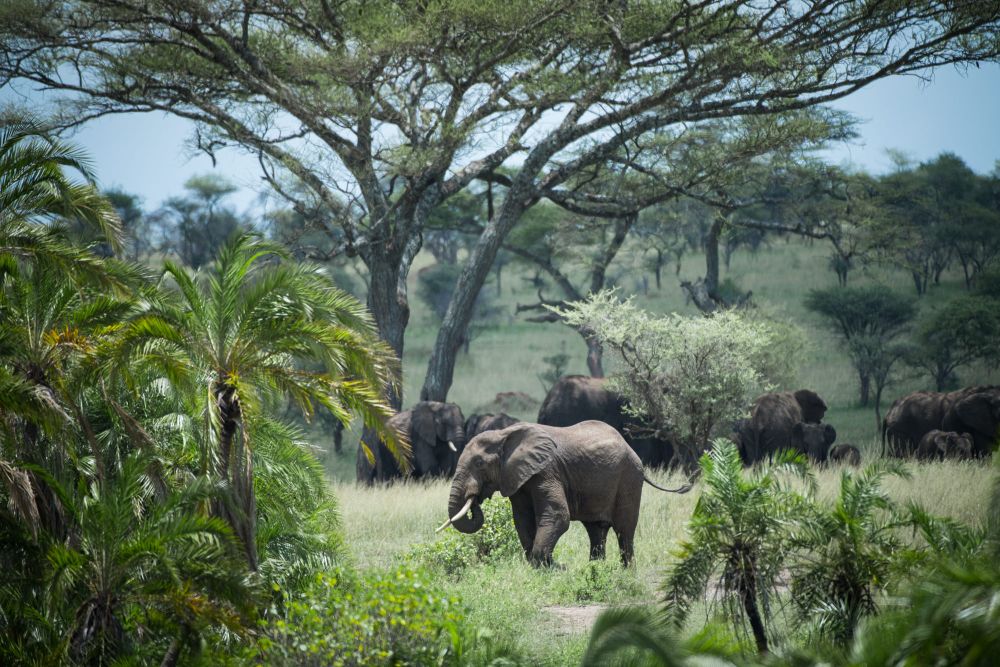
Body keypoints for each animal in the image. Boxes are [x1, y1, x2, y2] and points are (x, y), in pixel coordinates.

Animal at [438, 420, 688, 568]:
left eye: (479, 463)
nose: (476, 499)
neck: (505, 435)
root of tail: (630, 448)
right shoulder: (517, 478)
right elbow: (522, 520)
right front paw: (544, 565)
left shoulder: (546, 470)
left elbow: (558, 515)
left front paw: (547, 566)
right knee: (596, 530)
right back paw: (595, 569)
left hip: (629, 477)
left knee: (624, 530)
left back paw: (625, 572)